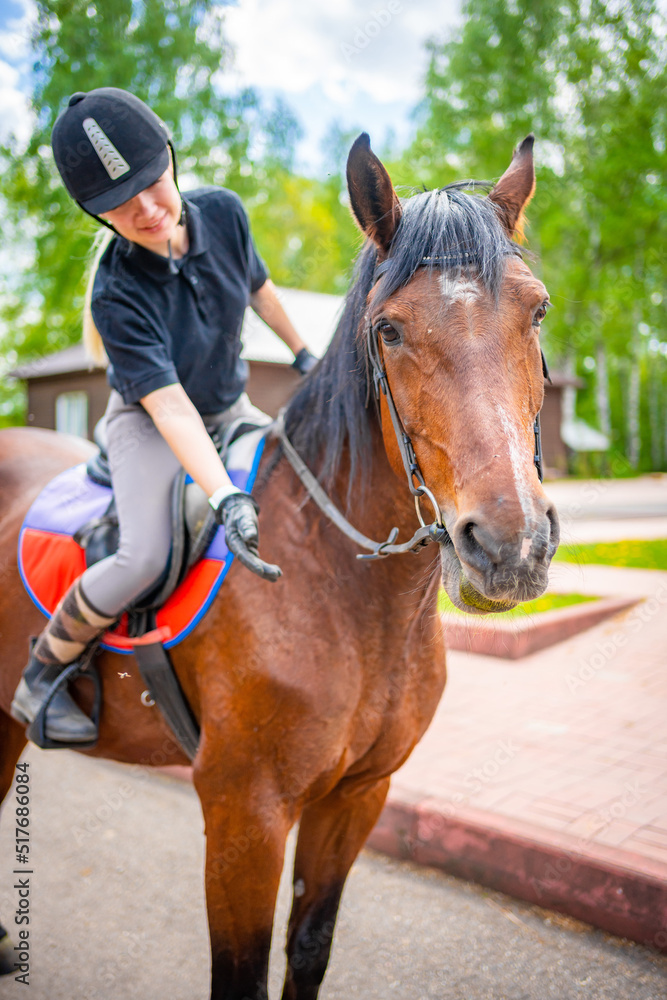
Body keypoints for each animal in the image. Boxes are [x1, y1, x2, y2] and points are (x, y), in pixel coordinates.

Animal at [0, 135, 560, 1000]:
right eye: (388, 329)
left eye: (535, 310)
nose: (507, 547)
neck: (344, 590)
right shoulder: (245, 814)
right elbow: (241, 974)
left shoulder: (356, 798)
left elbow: (309, 948)